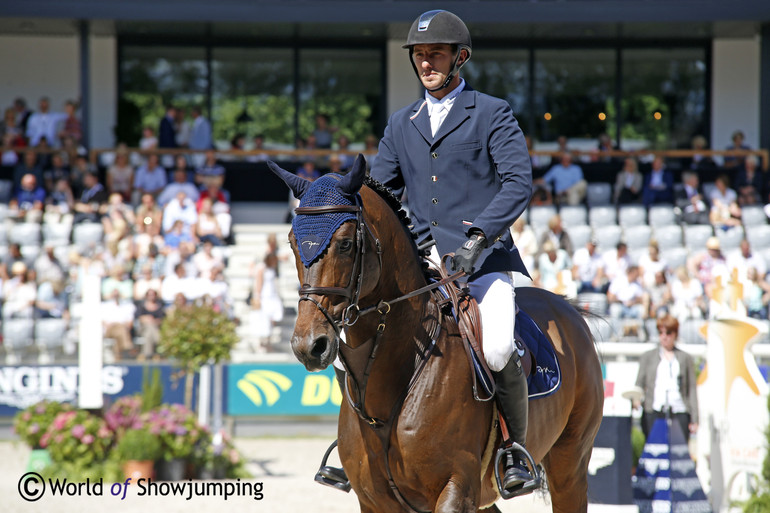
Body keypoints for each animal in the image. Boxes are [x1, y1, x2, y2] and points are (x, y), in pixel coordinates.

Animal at [270, 156, 608, 512]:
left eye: (346, 244)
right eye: (292, 243)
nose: (309, 345)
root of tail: (566, 308)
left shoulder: (456, 489)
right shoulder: (375, 500)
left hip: (569, 465)